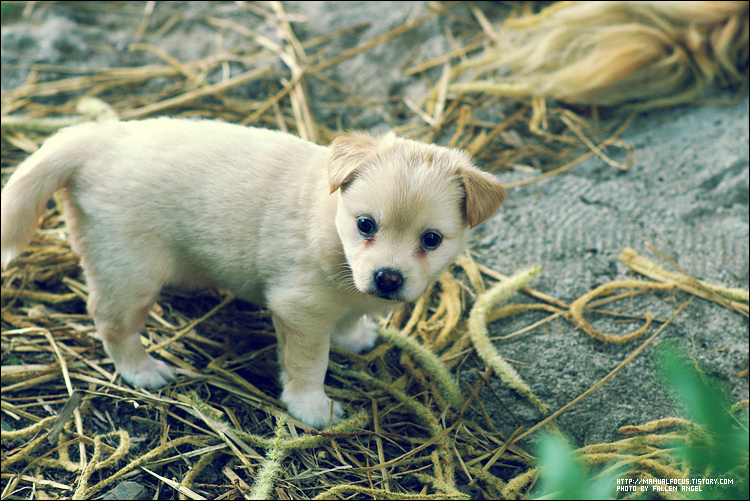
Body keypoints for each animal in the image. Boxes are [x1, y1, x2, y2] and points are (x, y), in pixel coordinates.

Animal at [0, 117, 508, 426]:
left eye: (432, 240)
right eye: (366, 225)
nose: (387, 278)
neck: (329, 227)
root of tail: (100, 137)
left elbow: (346, 321)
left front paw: (354, 335)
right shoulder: (300, 312)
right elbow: (309, 366)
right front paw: (311, 409)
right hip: (129, 276)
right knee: (113, 325)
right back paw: (142, 371)